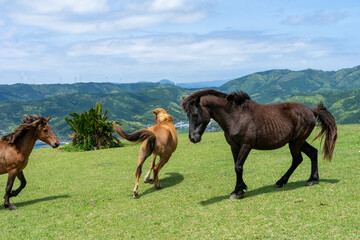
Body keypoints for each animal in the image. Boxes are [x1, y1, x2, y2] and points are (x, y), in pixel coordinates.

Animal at [183, 89, 338, 200]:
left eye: (195, 114)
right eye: (188, 116)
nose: (193, 138)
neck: (236, 116)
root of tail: (311, 110)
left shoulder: (246, 145)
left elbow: (238, 167)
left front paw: (237, 192)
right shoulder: (234, 147)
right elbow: (237, 166)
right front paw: (240, 188)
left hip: (296, 142)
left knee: (297, 159)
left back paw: (290, 181)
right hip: (297, 141)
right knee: (312, 153)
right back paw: (310, 179)